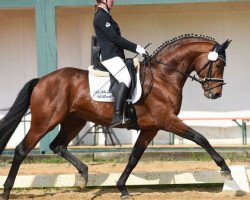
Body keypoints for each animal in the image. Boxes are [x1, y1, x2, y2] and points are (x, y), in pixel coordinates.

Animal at [0, 34, 231, 198]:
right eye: (219, 64)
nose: (216, 94)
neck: (164, 76)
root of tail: (42, 80)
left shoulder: (151, 127)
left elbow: (134, 157)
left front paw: (122, 188)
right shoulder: (167, 120)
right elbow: (200, 138)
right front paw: (225, 169)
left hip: (74, 121)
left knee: (58, 145)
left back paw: (83, 175)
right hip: (45, 121)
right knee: (22, 150)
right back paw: (7, 190)